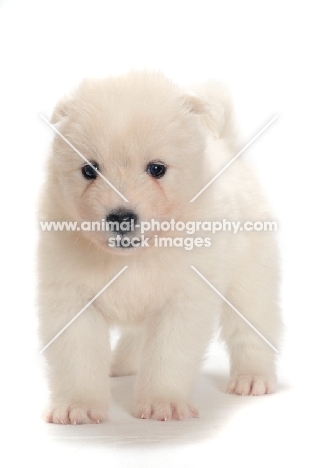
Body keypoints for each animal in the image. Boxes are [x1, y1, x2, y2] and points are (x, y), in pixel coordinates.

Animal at [37, 70, 282, 424]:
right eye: (89, 170)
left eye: (157, 169)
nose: (121, 217)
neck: (132, 258)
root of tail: (228, 147)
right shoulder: (71, 299)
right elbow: (77, 357)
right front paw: (77, 406)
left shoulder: (183, 300)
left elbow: (168, 355)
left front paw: (162, 403)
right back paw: (121, 363)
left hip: (250, 278)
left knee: (253, 327)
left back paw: (253, 378)